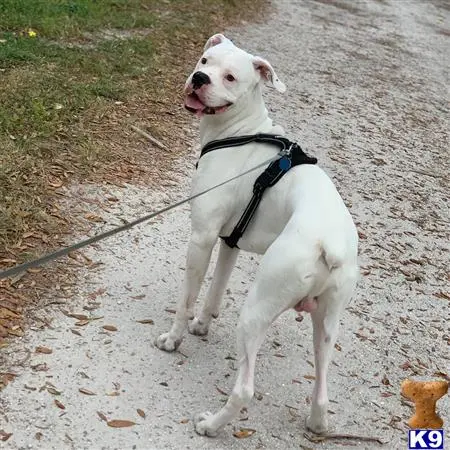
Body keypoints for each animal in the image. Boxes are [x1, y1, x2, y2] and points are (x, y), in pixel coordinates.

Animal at [155, 34, 358, 436]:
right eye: (205, 60)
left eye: (230, 77)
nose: (199, 78)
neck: (239, 133)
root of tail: (329, 245)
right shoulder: (228, 243)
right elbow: (214, 292)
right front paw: (203, 325)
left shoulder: (201, 239)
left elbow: (187, 300)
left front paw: (175, 338)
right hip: (327, 325)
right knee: (322, 389)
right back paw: (316, 423)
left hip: (256, 310)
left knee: (245, 389)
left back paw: (210, 425)